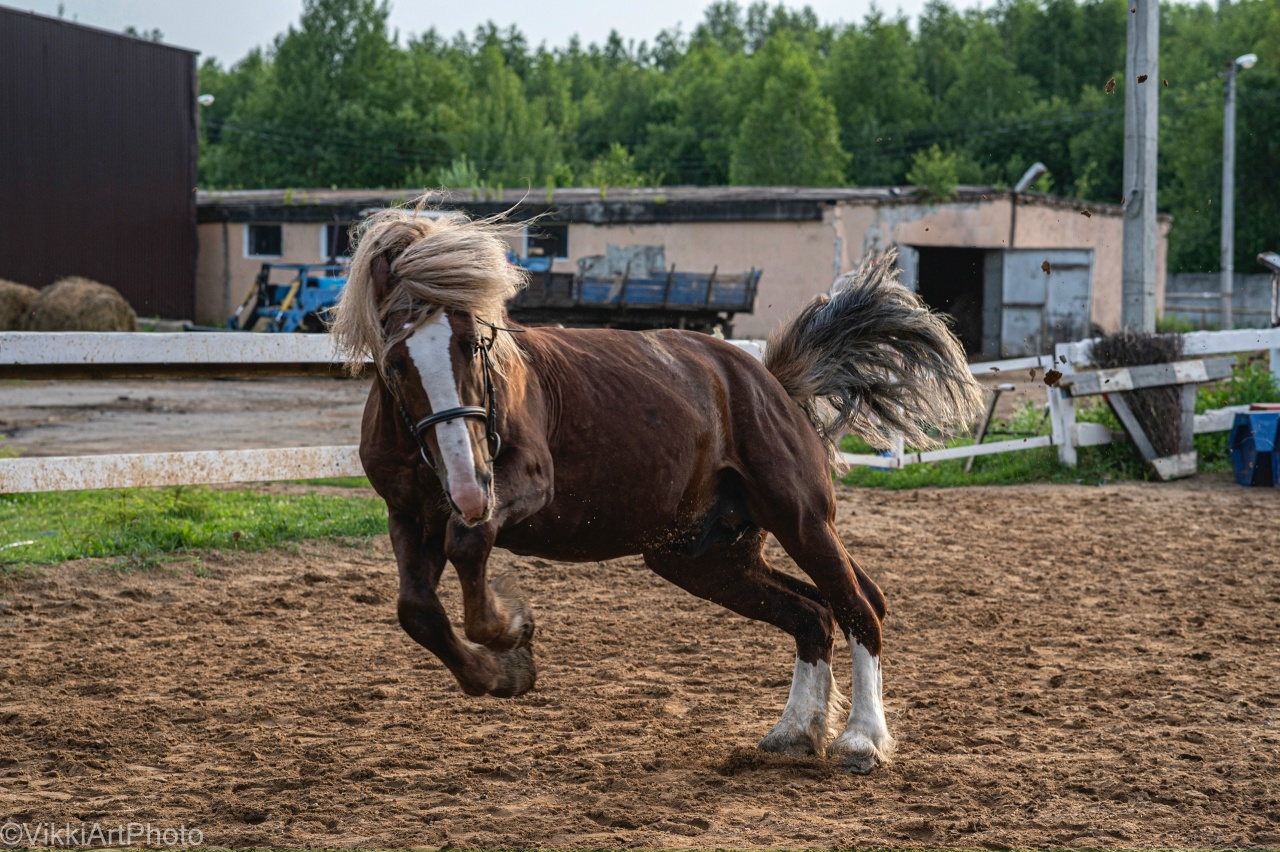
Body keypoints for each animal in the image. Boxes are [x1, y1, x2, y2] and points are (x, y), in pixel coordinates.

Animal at [330, 207, 983, 774]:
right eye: (395, 362)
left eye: (472, 344)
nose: (467, 484)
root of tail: (769, 379)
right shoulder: (408, 516)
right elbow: (418, 611)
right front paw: (502, 672)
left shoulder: (524, 485)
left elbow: (469, 547)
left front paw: (511, 634)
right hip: (701, 558)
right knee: (811, 616)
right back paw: (795, 733)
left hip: (801, 518)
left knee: (859, 606)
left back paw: (862, 740)